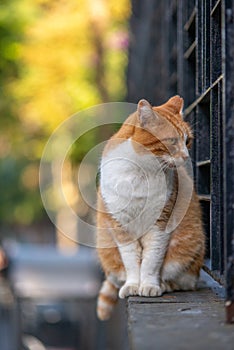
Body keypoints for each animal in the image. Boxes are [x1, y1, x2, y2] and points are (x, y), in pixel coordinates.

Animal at [95, 95, 205, 320]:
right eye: (172, 141)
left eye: (187, 141)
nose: (186, 157)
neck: (140, 172)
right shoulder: (121, 227)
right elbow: (131, 261)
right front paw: (133, 285)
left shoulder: (160, 225)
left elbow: (151, 260)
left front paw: (149, 285)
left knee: (185, 281)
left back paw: (166, 284)